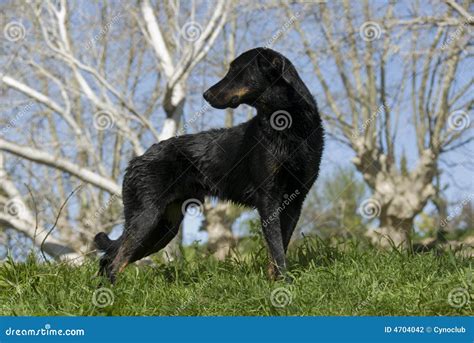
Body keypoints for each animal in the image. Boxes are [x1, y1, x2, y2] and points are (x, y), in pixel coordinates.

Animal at [96, 48, 326, 284]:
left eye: (236, 70)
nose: (205, 94)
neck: (288, 125)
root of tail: (135, 161)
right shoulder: (268, 199)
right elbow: (277, 250)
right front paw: (284, 285)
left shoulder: (294, 201)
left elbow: (279, 249)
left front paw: (278, 282)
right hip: (147, 220)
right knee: (115, 261)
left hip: (162, 229)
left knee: (109, 259)